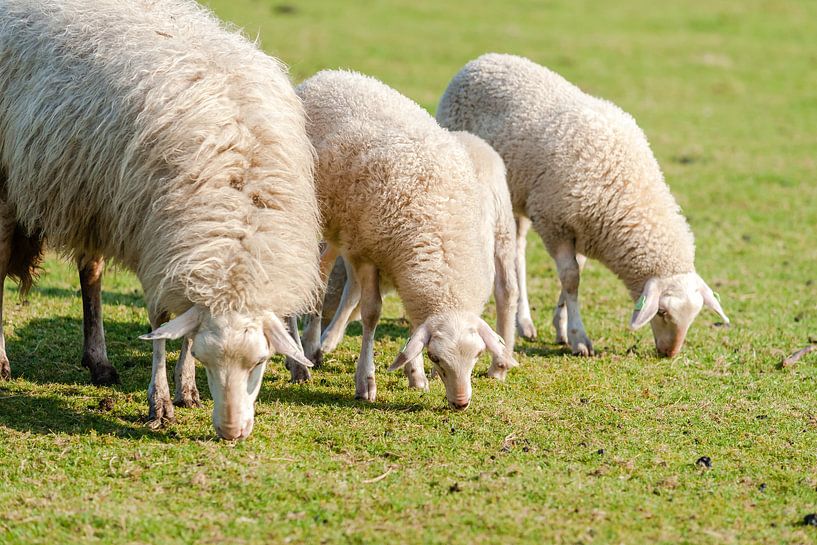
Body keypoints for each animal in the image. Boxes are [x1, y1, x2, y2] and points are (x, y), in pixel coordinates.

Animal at [0, 0, 318, 440]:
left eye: (260, 362)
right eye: (208, 361)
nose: (230, 432)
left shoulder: (184, 249)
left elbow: (182, 325)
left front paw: (186, 389)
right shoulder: (158, 238)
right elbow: (161, 320)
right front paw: (161, 402)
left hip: (94, 198)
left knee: (91, 273)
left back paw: (98, 361)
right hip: (6, 183)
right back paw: (2, 362)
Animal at [436, 54, 728, 356]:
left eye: (693, 317)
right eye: (662, 313)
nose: (669, 354)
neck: (624, 183)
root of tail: (483, 60)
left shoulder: (586, 229)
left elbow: (576, 275)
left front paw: (561, 326)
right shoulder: (554, 223)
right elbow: (571, 278)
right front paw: (578, 337)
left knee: (518, 248)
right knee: (516, 253)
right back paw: (523, 320)